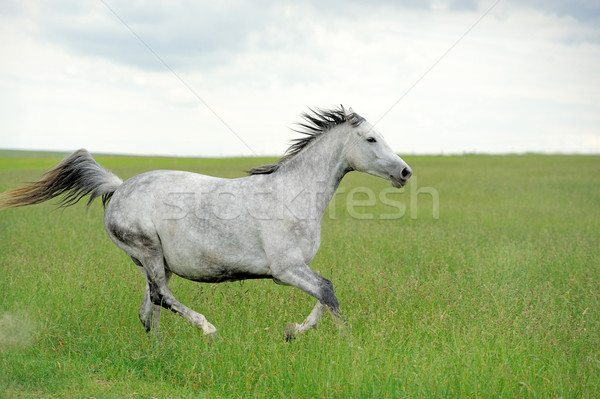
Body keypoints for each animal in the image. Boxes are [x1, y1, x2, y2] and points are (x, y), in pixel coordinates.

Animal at [0, 106, 410, 340]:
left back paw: (157, 349)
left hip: (153, 262)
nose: (405, 172)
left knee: (149, 307)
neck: (293, 192)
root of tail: (118, 188)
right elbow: (328, 291)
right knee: (162, 298)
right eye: (371, 139)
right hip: (148, 251)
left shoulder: (296, 269)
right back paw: (207, 329)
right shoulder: (286, 269)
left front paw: (292, 331)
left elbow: (324, 294)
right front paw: (347, 341)